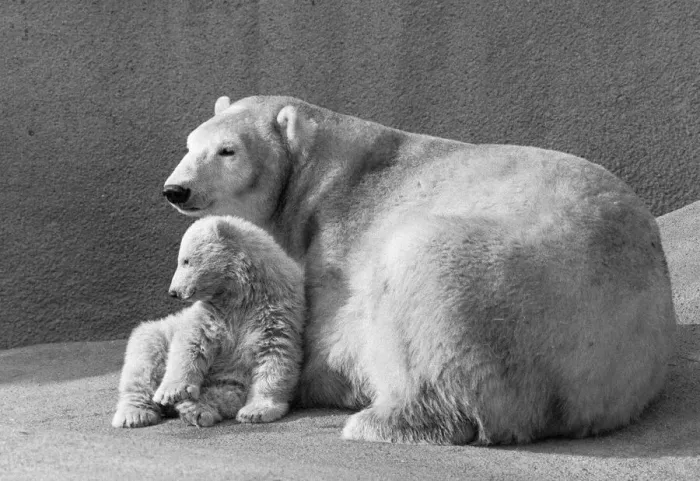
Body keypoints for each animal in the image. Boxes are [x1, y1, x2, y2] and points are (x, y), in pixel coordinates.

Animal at [111, 215, 305, 428]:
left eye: (186, 261)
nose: (173, 292)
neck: (242, 294)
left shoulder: (277, 311)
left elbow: (275, 354)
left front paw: (255, 412)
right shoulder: (213, 312)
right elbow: (192, 342)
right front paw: (172, 391)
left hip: (229, 378)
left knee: (227, 392)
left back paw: (195, 409)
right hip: (159, 333)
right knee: (145, 362)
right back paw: (135, 414)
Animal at [161, 95, 676, 444]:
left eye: (227, 150)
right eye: (188, 144)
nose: (176, 189)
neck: (317, 174)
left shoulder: (338, 235)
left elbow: (306, 331)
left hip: (514, 281)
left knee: (419, 280)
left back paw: (376, 419)